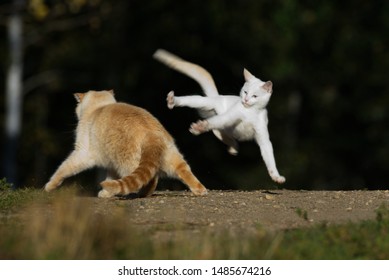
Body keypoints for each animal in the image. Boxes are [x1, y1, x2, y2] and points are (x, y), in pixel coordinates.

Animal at [44, 89, 208, 197]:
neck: (98, 108)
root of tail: (150, 132)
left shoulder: (82, 153)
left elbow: (63, 169)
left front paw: (49, 186)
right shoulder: (111, 164)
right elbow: (111, 178)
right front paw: (107, 193)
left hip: (129, 164)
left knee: (151, 180)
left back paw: (142, 194)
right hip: (173, 159)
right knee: (185, 172)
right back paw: (200, 190)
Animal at [154, 48, 284, 184]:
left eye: (255, 96)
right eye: (245, 92)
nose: (246, 100)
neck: (251, 112)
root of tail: (218, 97)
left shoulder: (262, 136)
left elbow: (269, 157)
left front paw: (276, 177)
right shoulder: (230, 116)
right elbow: (215, 121)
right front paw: (199, 127)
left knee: (220, 132)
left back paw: (233, 147)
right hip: (205, 104)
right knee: (198, 107)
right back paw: (172, 101)